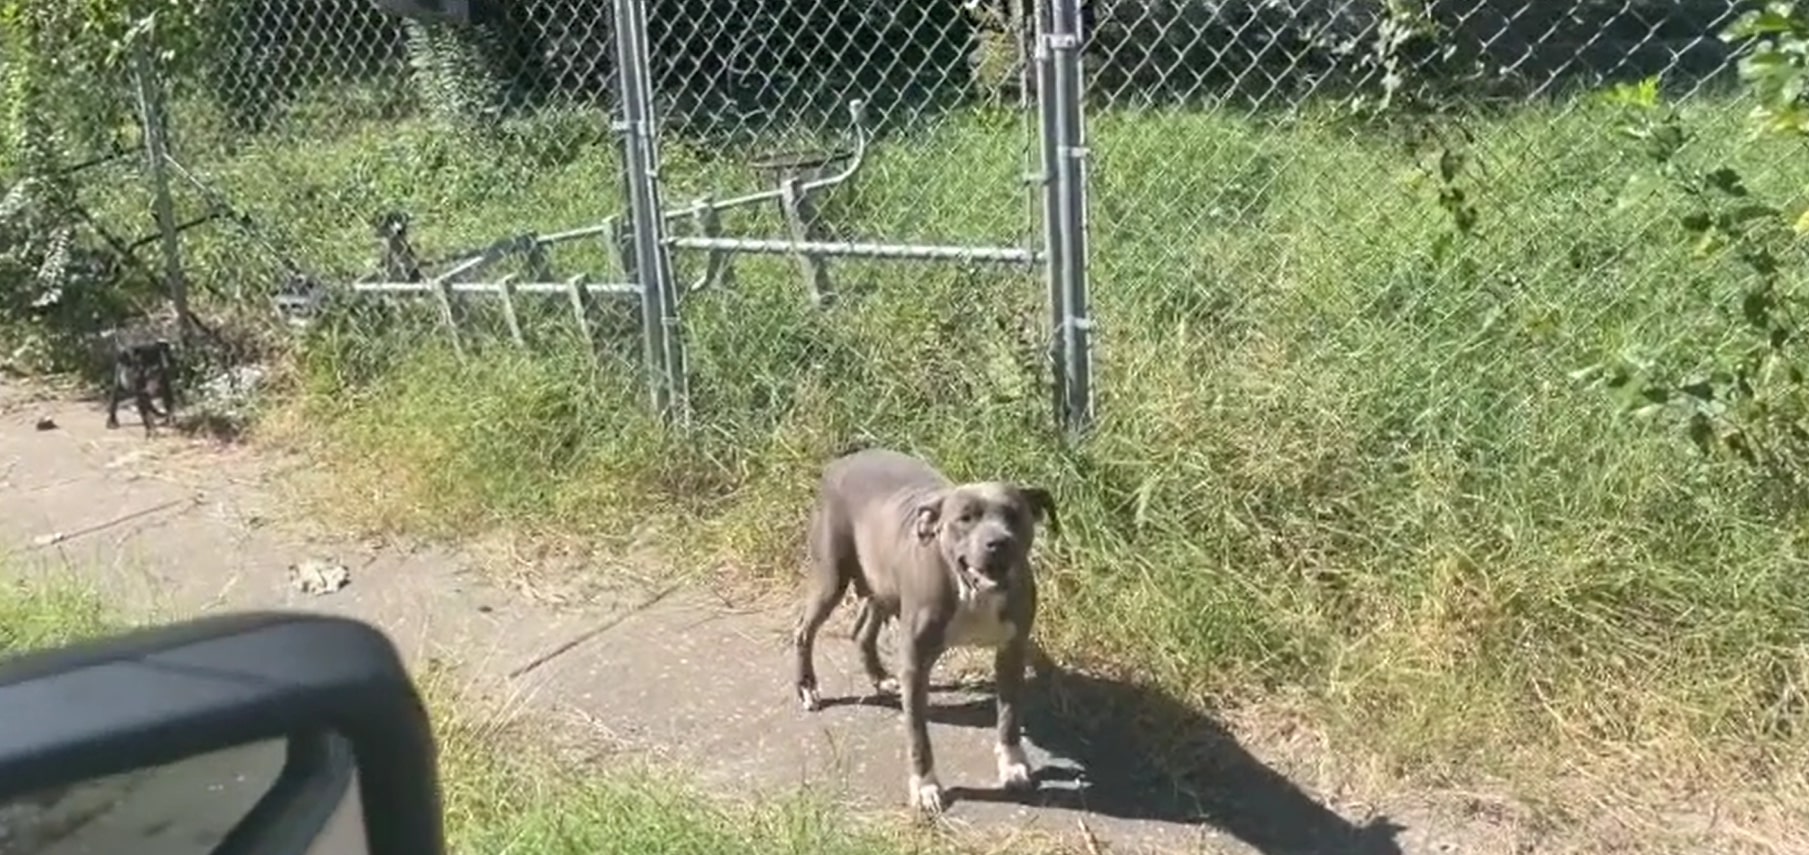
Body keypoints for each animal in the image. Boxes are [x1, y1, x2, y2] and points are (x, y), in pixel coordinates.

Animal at [792, 446, 1056, 813]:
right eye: (965, 518)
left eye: (1014, 515)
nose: (998, 542)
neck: (972, 591)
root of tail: (842, 461)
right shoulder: (916, 665)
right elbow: (918, 735)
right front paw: (925, 786)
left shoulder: (1011, 652)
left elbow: (1009, 716)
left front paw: (1012, 765)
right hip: (831, 577)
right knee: (804, 629)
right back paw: (807, 686)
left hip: (884, 585)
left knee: (862, 629)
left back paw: (878, 675)